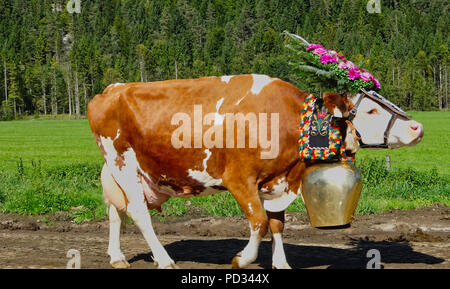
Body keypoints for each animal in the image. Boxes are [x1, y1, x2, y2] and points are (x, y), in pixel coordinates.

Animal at [87, 73, 422, 268]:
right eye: (371, 110)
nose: (417, 127)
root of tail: (112, 89)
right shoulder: (239, 179)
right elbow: (259, 221)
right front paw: (243, 258)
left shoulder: (277, 182)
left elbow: (276, 224)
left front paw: (281, 264)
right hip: (122, 162)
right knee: (138, 213)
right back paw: (165, 259)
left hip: (125, 172)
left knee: (116, 210)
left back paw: (117, 257)